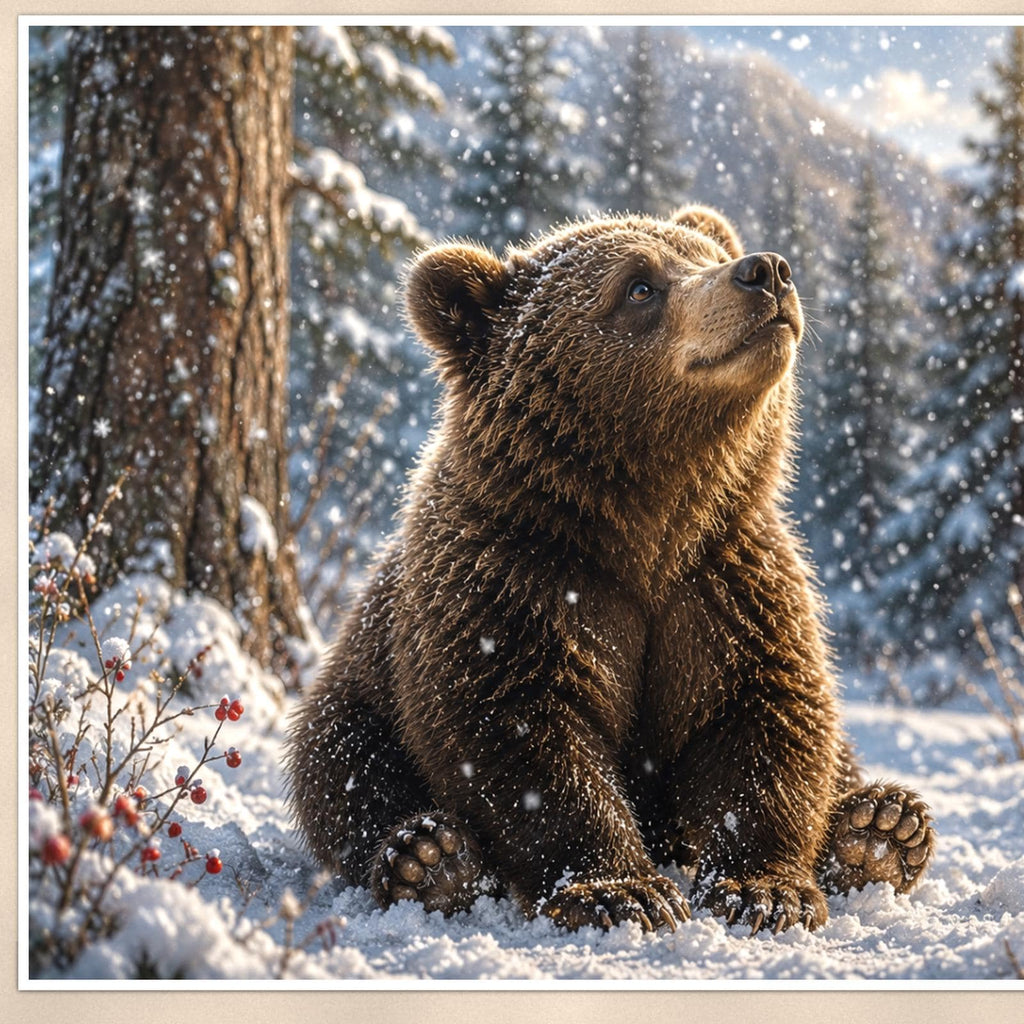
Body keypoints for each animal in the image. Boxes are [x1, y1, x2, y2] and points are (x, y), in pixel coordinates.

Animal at [285, 205, 935, 935]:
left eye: (706, 252)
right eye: (639, 286)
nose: (765, 270)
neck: (644, 523)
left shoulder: (728, 581)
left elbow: (765, 717)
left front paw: (767, 890)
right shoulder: (516, 581)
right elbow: (524, 732)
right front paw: (620, 890)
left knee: (842, 762)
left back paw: (880, 828)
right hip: (363, 684)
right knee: (342, 763)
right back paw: (430, 859)